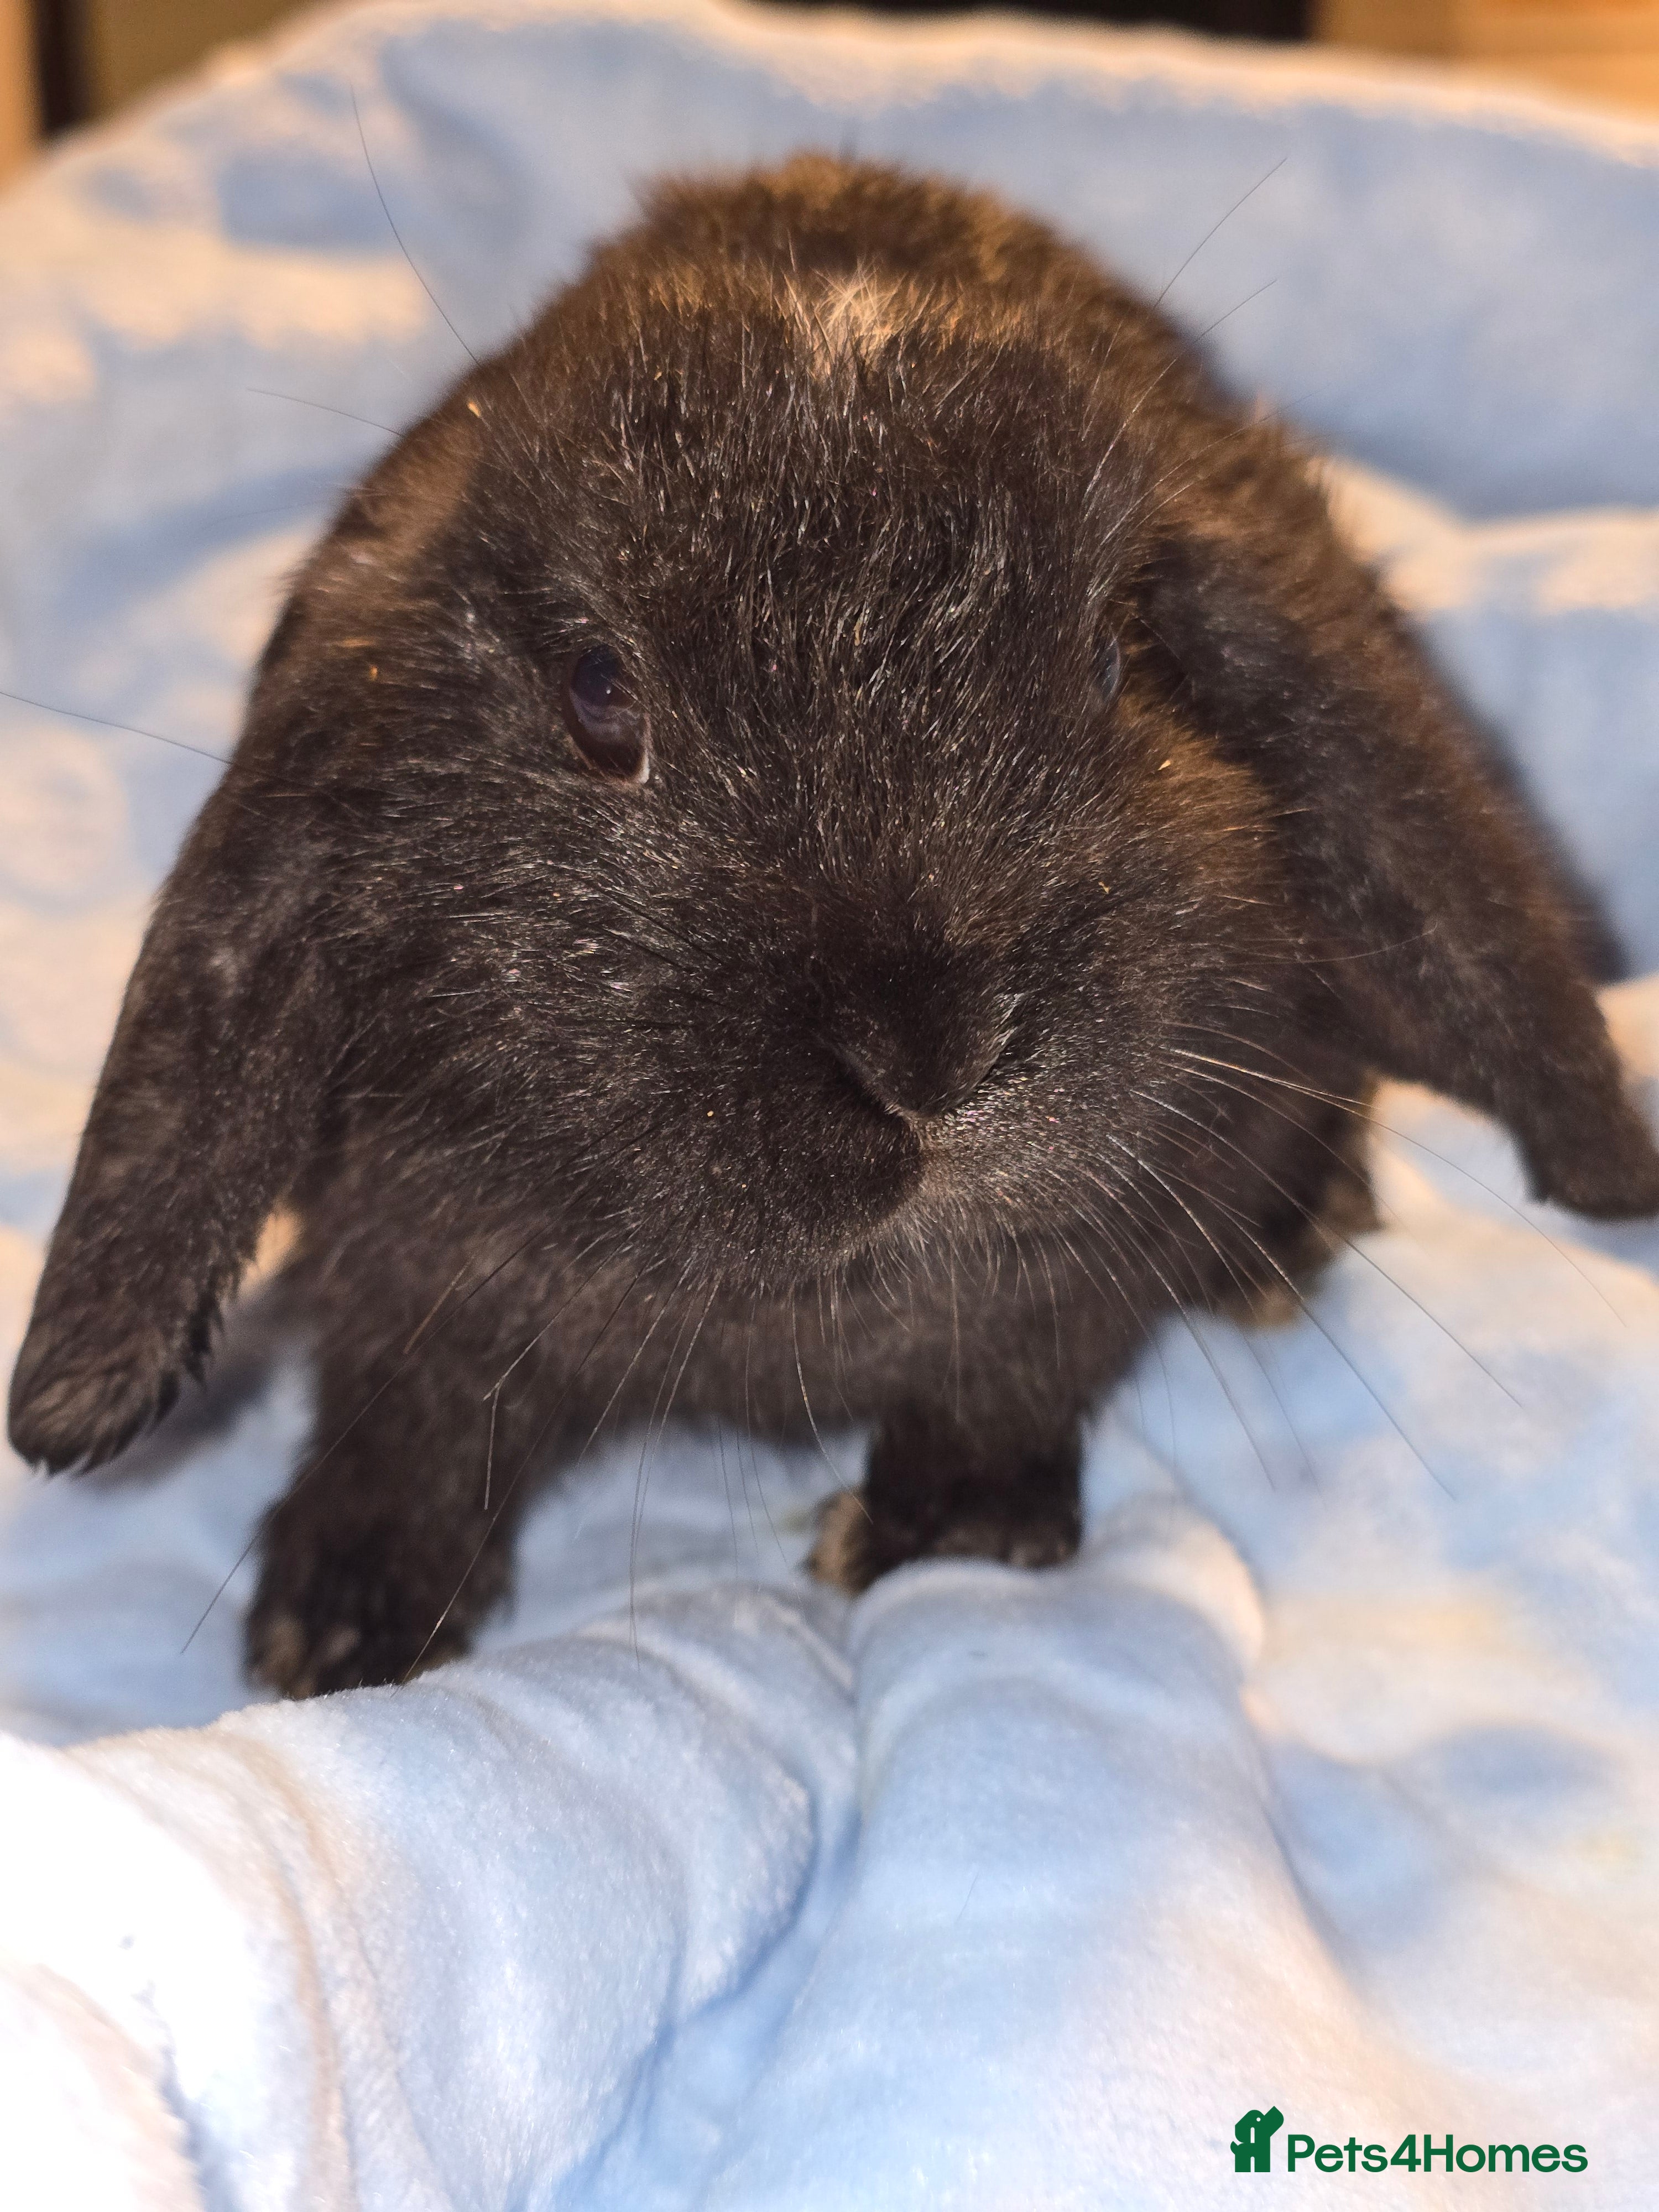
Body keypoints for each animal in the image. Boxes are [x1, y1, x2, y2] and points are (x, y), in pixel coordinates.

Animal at [10, 155, 1659, 1698]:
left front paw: (946, 1536)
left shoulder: (1087, 1269)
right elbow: (406, 1421)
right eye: (601, 697)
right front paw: (333, 1630)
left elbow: (1008, 1378)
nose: (935, 1056)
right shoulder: (404, 1280)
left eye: (1119, 657)